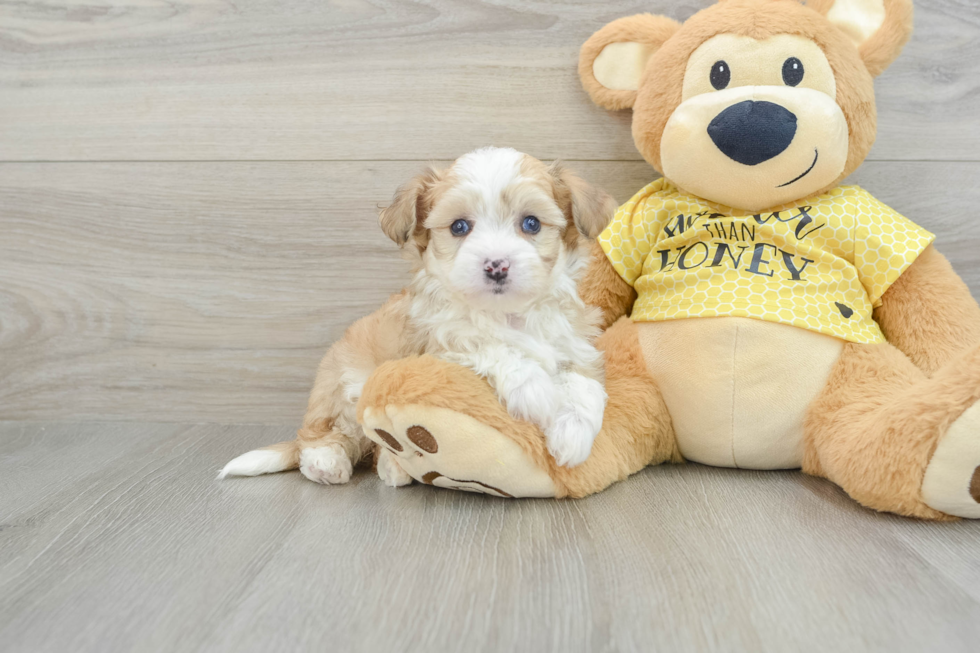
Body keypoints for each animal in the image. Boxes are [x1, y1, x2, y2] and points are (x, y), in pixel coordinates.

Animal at [221, 146, 616, 484]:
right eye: (459, 227)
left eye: (531, 224)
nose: (496, 265)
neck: (507, 314)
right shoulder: (436, 343)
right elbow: (486, 345)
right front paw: (536, 391)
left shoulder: (575, 341)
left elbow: (584, 382)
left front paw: (574, 435)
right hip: (343, 384)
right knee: (327, 433)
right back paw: (328, 462)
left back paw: (392, 467)